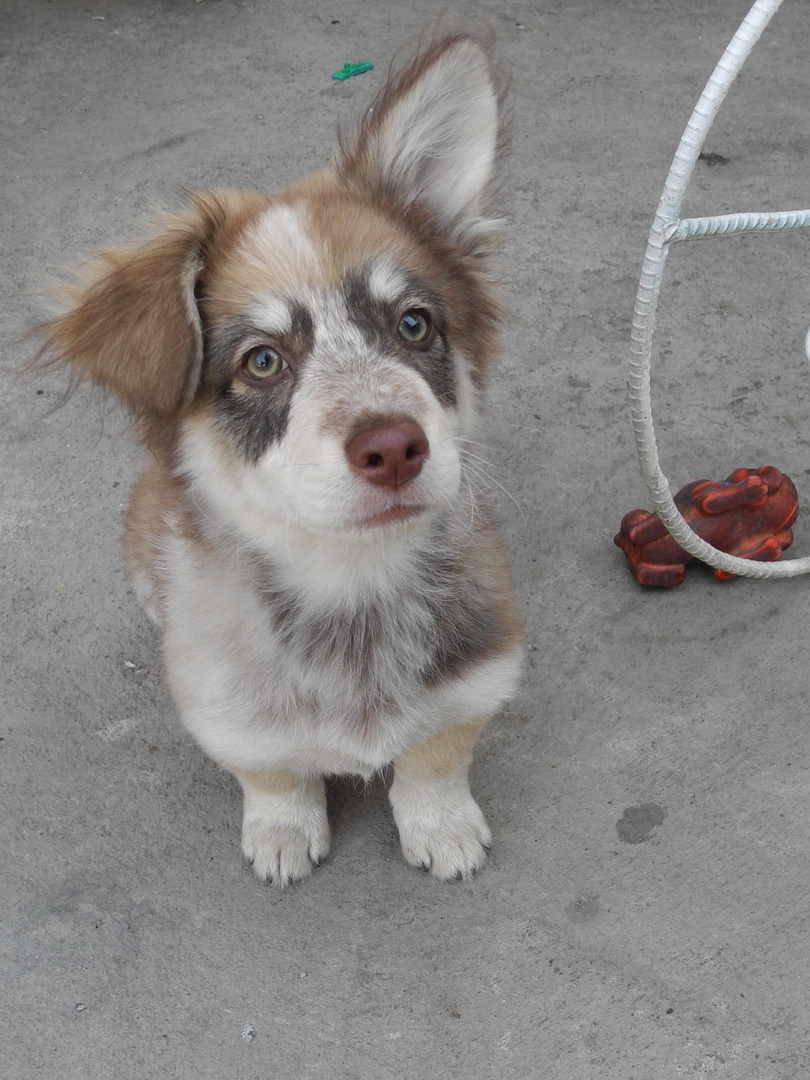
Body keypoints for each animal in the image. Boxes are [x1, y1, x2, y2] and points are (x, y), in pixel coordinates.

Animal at [41, 35, 527, 885]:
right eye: (262, 361)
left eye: (414, 323)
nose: (394, 448)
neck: (349, 582)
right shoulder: (223, 705)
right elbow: (271, 770)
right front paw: (281, 829)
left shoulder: (482, 669)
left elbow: (436, 752)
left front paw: (440, 822)